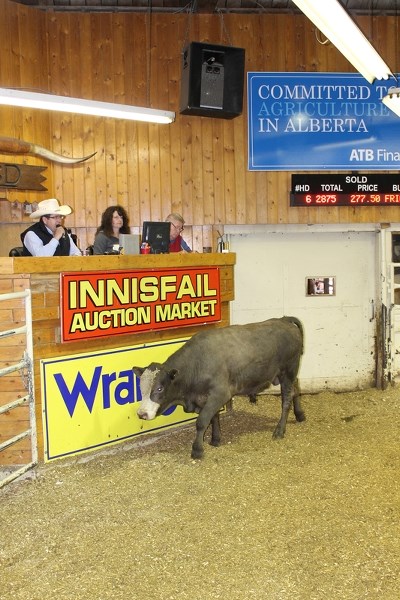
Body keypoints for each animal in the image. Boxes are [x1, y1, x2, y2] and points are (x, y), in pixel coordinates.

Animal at [133, 316, 304, 458]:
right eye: (141, 388)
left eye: (159, 388)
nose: (142, 414)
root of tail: (283, 319)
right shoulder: (207, 397)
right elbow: (213, 417)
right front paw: (215, 439)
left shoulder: (220, 394)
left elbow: (202, 421)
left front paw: (197, 450)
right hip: (288, 374)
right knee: (296, 389)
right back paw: (300, 415)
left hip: (288, 371)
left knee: (286, 399)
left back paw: (280, 430)